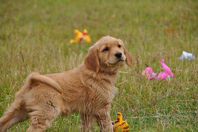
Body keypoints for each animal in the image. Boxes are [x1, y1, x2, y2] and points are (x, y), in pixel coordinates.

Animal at [0, 35, 131, 131]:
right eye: (105, 49)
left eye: (119, 46)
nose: (119, 54)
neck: (97, 72)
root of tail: (32, 81)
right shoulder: (102, 109)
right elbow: (107, 127)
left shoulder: (87, 112)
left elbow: (86, 128)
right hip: (46, 112)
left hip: (19, 110)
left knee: (3, 122)